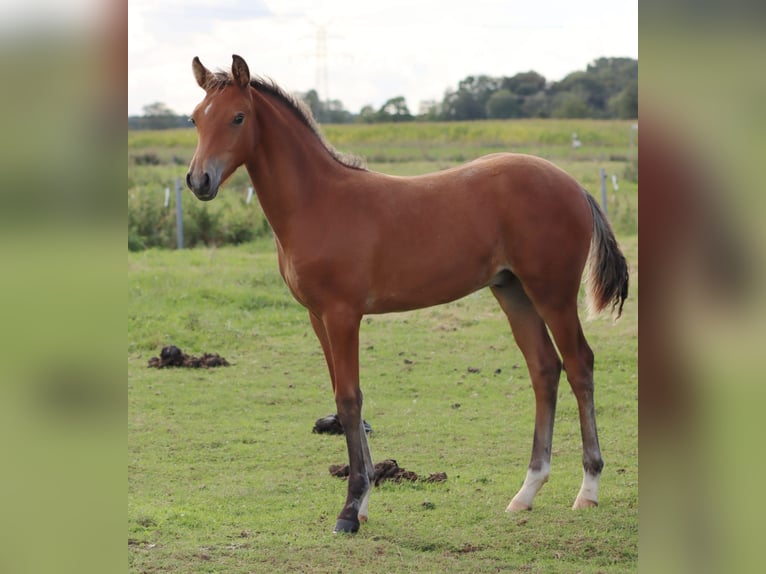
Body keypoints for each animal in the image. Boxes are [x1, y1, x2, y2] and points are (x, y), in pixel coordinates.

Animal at [186, 55, 629, 534]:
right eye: (194, 118)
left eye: (238, 117)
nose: (198, 180)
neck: (317, 202)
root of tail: (574, 185)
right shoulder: (317, 317)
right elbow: (344, 396)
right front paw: (362, 502)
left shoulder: (343, 315)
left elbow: (349, 400)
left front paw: (349, 511)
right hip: (513, 292)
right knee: (544, 368)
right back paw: (526, 492)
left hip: (553, 293)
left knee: (579, 364)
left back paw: (588, 489)